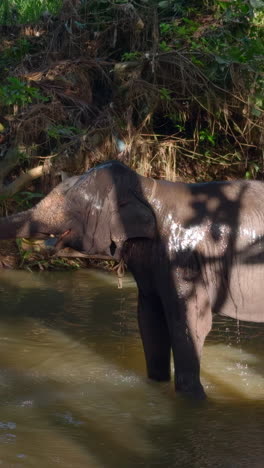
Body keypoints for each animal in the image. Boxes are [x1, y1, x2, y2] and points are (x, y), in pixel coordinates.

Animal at [0, 159, 264, 396]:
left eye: (73, 209)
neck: (148, 187)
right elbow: (149, 317)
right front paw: (156, 385)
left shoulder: (182, 257)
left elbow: (190, 320)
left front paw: (193, 399)